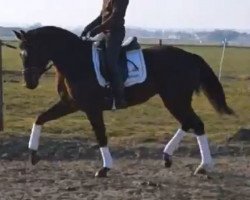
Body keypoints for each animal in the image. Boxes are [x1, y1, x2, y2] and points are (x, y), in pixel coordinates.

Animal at [13, 26, 232, 177]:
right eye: (20, 53)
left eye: (30, 52)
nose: (28, 83)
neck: (76, 60)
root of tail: (190, 56)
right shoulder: (71, 104)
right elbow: (40, 118)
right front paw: (33, 154)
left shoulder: (92, 108)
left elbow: (101, 136)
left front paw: (104, 168)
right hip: (175, 99)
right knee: (189, 123)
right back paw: (169, 157)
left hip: (175, 98)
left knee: (196, 124)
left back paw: (203, 166)